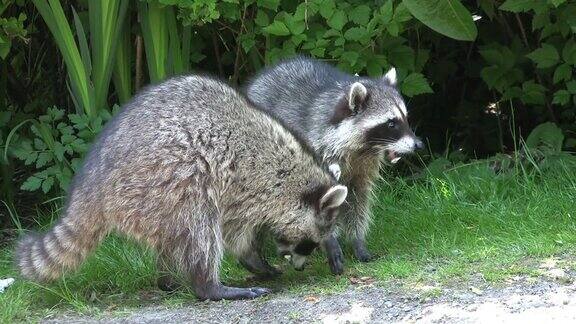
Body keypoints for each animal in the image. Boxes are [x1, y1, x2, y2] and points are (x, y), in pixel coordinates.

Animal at [15, 74, 348, 300]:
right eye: (307, 243)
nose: (301, 267)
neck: (297, 177)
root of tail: (93, 181)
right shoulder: (249, 182)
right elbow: (235, 231)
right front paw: (253, 258)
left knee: (175, 235)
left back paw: (167, 278)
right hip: (162, 177)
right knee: (199, 223)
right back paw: (209, 286)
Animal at [246, 57, 424, 274]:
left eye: (405, 118)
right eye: (391, 123)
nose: (418, 145)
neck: (361, 149)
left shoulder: (363, 168)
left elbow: (358, 200)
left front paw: (357, 241)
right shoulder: (317, 151)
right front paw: (330, 240)